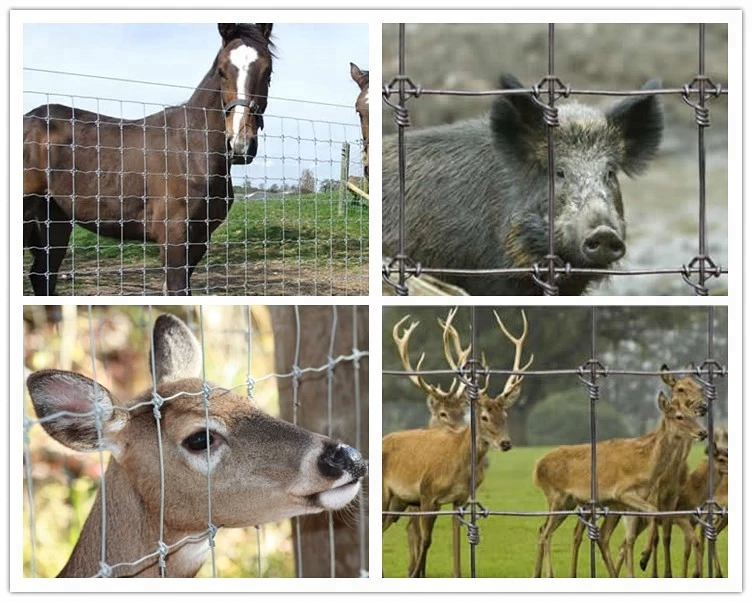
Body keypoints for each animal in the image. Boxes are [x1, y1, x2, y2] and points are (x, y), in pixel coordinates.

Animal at [22, 22, 276, 294]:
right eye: (222, 71)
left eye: (268, 72)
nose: (240, 144)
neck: (192, 150)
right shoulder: (174, 238)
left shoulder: (199, 240)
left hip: (55, 219)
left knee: (43, 275)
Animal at [384, 308, 532, 576]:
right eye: (484, 417)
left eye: (504, 415)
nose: (506, 443)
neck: (458, 467)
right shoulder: (427, 494)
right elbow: (425, 541)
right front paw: (415, 574)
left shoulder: (460, 499)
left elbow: (457, 541)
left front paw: (458, 574)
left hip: (398, 502)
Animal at [532, 390, 708, 576]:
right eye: (679, 416)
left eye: (693, 415)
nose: (703, 432)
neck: (646, 465)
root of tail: (537, 467)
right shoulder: (622, 492)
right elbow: (652, 510)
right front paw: (644, 558)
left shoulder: (630, 502)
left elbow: (629, 539)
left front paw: (637, 565)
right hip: (556, 496)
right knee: (547, 532)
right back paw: (549, 574)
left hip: (569, 502)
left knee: (544, 529)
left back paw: (537, 573)